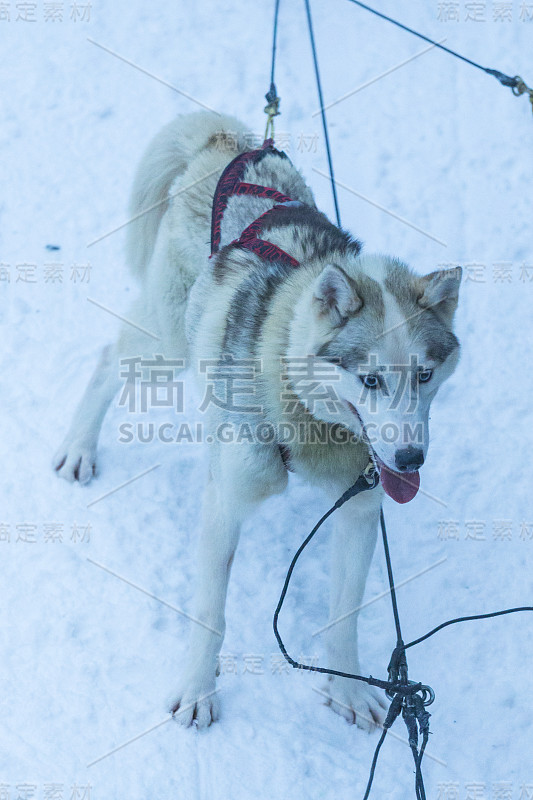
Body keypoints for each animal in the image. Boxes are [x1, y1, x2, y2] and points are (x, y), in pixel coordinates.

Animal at [55, 112, 462, 732]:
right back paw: (80, 446)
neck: (305, 415)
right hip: (166, 344)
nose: (411, 459)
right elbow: (210, 613)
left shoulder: (361, 509)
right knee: (109, 360)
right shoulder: (227, 499)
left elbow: (344, 616)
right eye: (369, 380)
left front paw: (348, 689)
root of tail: (227, 143)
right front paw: (197, 690)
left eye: (424, 375)